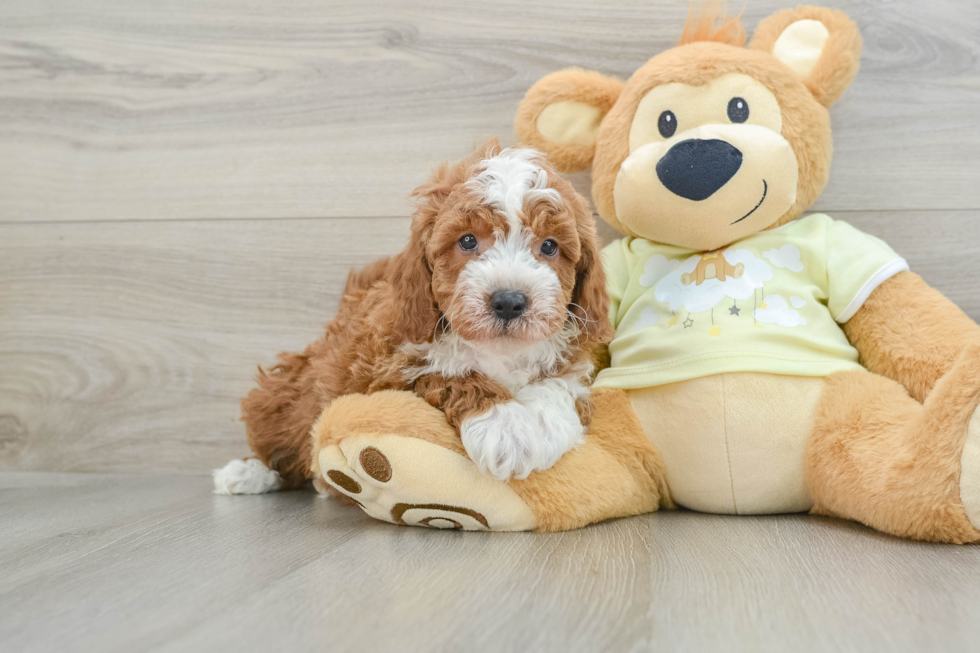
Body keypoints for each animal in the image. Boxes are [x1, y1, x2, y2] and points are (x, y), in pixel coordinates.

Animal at [215, 139, 612, 494]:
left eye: (550, 246)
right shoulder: (383, 370)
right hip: (288, 394)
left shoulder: (573, 364)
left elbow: (560, 387)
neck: (498, 351)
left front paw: (539, 426)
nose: (509, 301)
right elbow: (447, 372)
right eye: (468, 241)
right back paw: (246, 474)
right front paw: (504, 426)